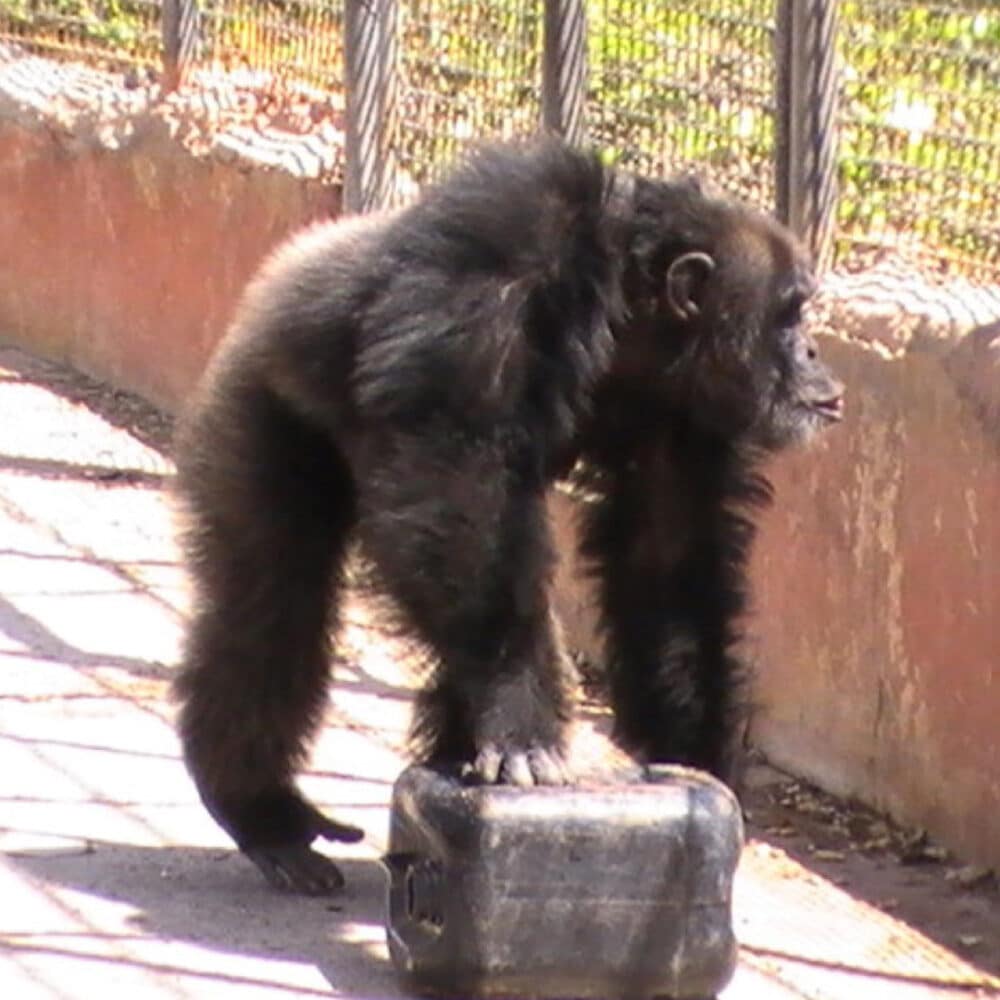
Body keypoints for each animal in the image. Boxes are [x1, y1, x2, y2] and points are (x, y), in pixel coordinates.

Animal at [172, 139, 844, 894]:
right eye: (790, 313)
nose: (812, 349)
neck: (633, 320)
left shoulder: (691, 417)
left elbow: (668, 554)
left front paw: (696, 762)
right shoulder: (505, 248)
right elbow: (455, 461)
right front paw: (521, 717)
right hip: (256, 401)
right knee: (274, 599)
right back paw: (265, 814)